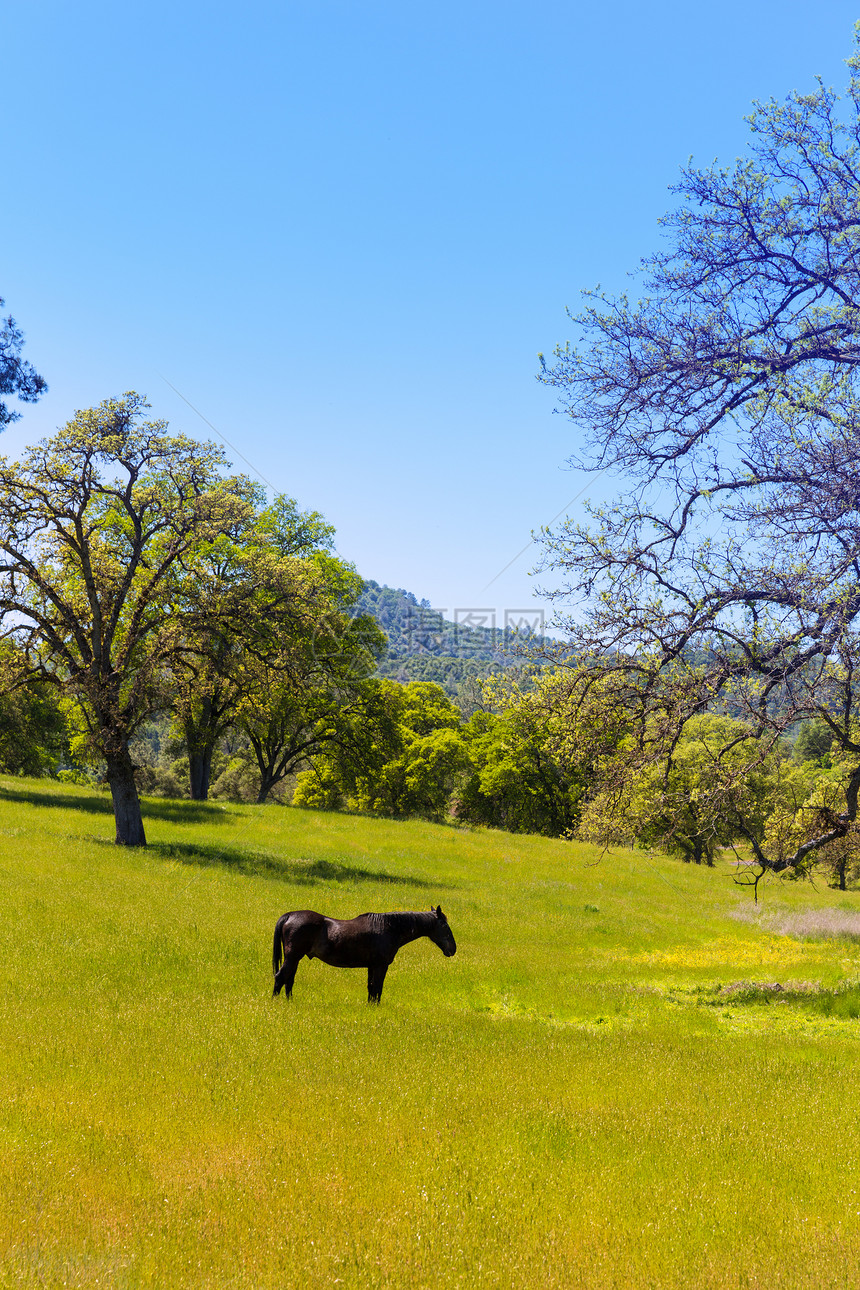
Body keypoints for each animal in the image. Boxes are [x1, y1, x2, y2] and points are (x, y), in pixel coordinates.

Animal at [272, 903, 456, 1001]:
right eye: (444, 925)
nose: (452, 949)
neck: (389, 928)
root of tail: (289, 916)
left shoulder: (371, 966)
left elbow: (371, 988)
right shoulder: (381, 966)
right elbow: (377, 988)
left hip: (295, 958)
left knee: (289, 980)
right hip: (293, 957)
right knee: (281, 977)